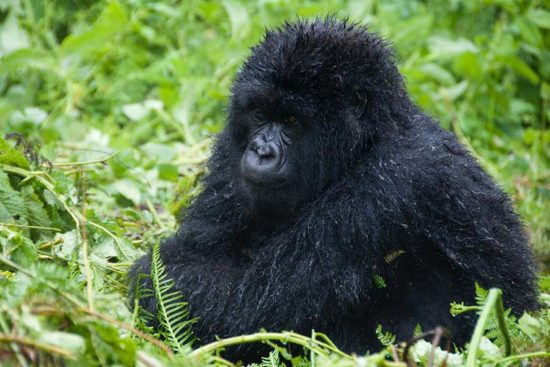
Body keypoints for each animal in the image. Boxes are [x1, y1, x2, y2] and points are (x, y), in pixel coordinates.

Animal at [129, 18, 540, 362]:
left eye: (291, 120)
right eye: (260, 114)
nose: (260, 151)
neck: (368, 142)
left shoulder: (391, 181)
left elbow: (248, 304)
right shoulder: (230, 154)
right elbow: (190, 255)